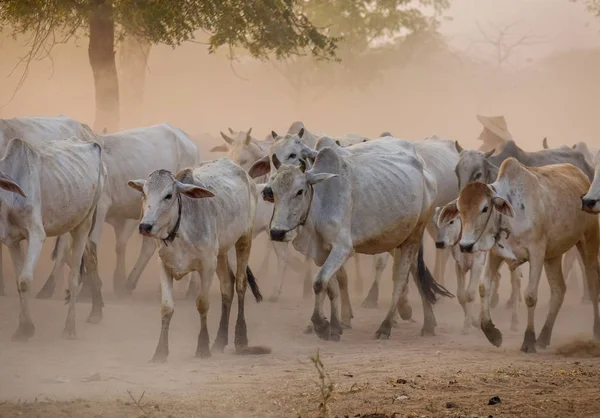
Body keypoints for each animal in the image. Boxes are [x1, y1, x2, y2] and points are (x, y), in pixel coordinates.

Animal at [1, 136, 105, 340]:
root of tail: (93, 145)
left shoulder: (36, 234)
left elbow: (25, 281)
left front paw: (26, 329)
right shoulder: (12, 240)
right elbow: (18, 282)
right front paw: (24, 327)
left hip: (84, 223)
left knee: (74, 277)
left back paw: (70, 328)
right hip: (68, 222)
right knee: (89, 255)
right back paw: (96, 311)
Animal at [37, 122, 202, 298]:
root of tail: (186, 138)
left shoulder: (101, 208)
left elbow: (92, 244)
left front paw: (88, 289)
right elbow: (63, 249)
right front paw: (48, 287)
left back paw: (188, 289)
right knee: (149, 247)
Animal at [127, 158, 266, 360]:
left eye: (168, 195)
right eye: (144, 193)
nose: (145, 226)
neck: (180, 230)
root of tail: (244, 173)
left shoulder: (207, 265)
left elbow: (202, 304)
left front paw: (202, 347)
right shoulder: (164, 266)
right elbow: (167, 307)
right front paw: (160, 352)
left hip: (244, 239)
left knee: (240, 284)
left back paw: (240, 339)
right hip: (221, 253)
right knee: (227, 287)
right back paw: (219, 341)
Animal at [266, 137, 450, 340]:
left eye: (299, 191)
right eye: (274, 191)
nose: (277, 232)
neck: (320, 202)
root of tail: (425, 171)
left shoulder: (342, 248)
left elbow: (319, 282)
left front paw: (321, 324)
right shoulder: (323, 252)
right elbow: (330, 287)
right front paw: (335, 326)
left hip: (414, 235)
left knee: (401, 278)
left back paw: (386, 326)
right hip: (396, 238)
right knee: (416, 272)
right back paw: (429, 323)